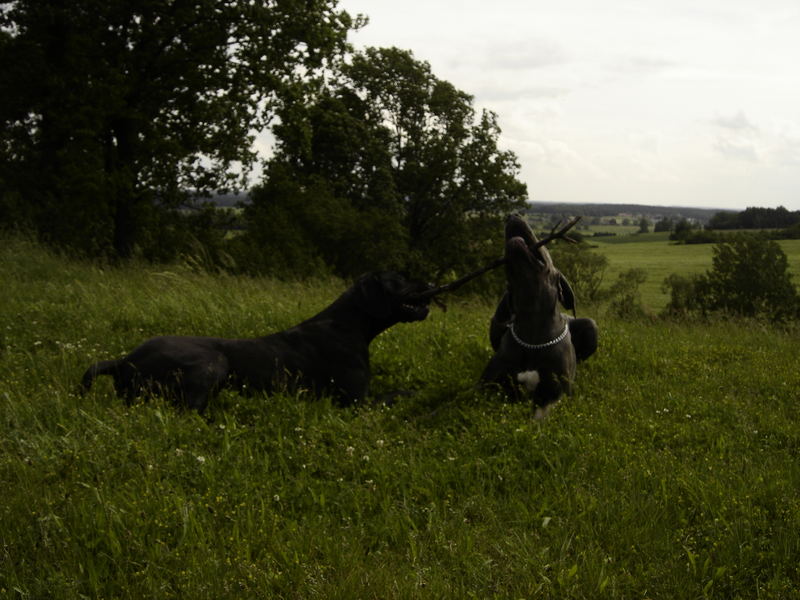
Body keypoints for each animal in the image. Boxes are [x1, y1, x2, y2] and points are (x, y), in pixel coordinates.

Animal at [80, 272, 432, 412]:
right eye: (398, 280)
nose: (430, 282)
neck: (350, 324)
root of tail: (124, 361)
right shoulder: (357, 402)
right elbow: (398, 392)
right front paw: (415, 393)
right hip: (213, 362)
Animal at [478, 214, 596, 418]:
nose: (513, 215)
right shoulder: (485, 384)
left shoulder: (557, 392)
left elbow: (543, 412)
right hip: (496, 323)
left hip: (591, 326)